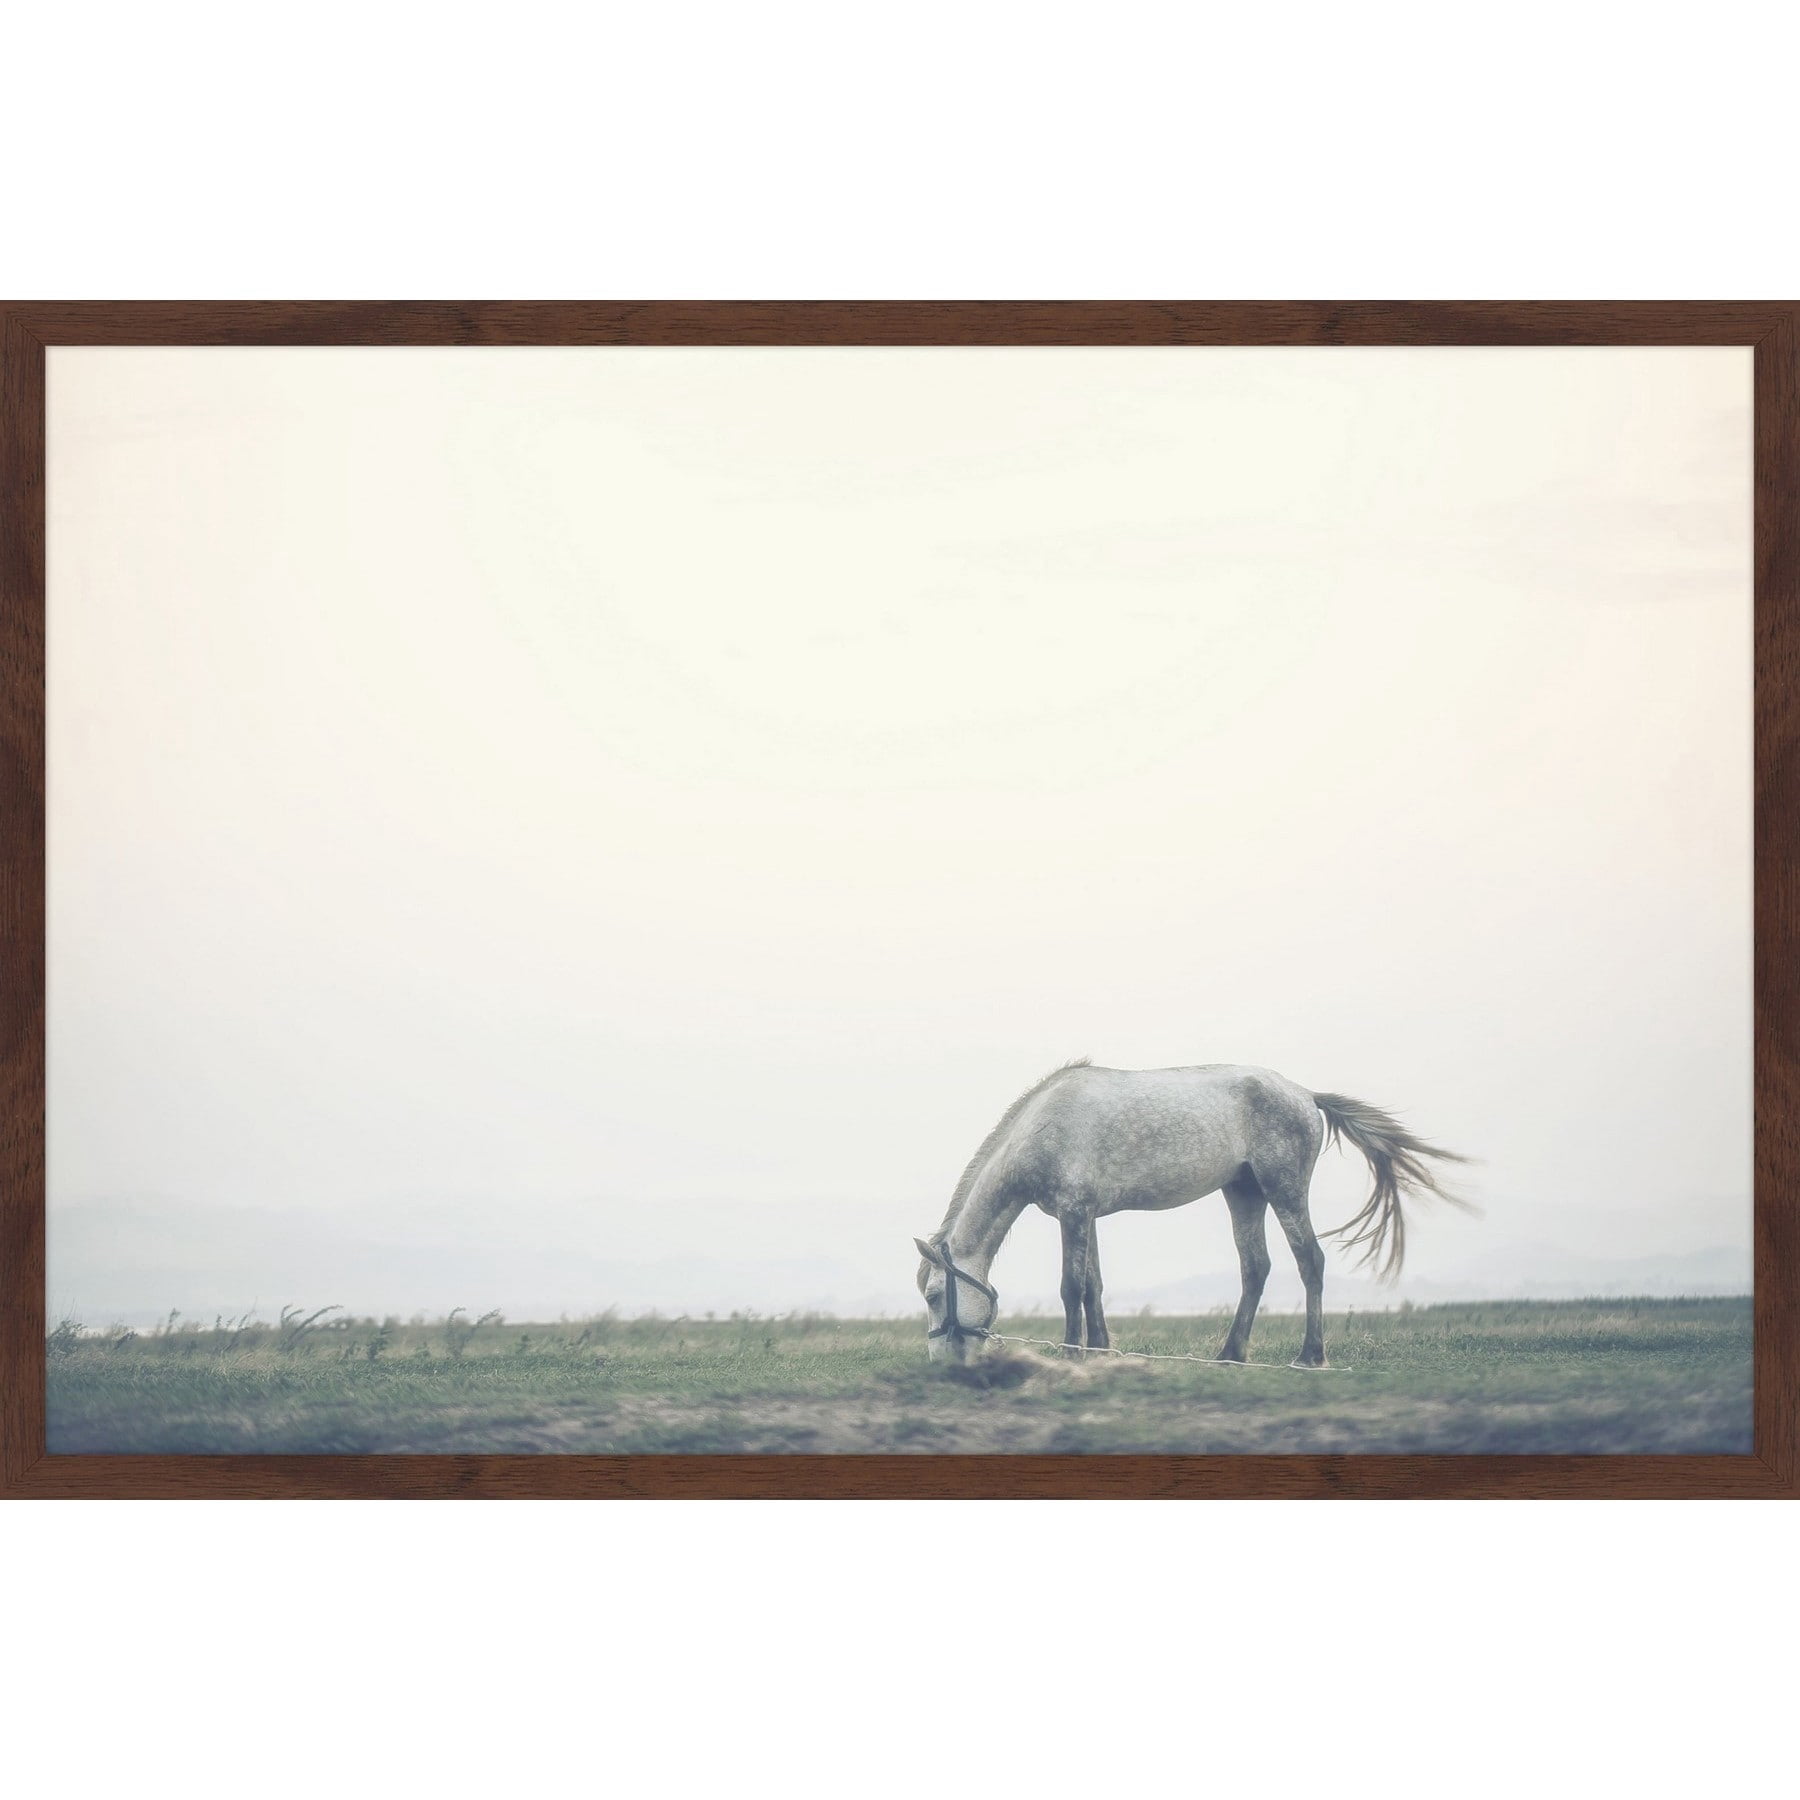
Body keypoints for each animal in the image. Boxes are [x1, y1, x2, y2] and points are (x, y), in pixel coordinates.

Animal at [914, 1060, 1469, 1368]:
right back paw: (1230, 1354)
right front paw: (1101, 1351)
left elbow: (1071, 1288)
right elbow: (1093, 1286)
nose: (942, 1363)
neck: (1043, 1128)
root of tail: (1305, 1095)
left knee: (1309, 1261)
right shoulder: (1087, 1216)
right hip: (1243, 1193)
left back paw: (1309, 1356)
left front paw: (1072, 1353)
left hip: (1283, 1189)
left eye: (935, 1296)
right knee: (1256, 1268)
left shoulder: (1073, 1214)